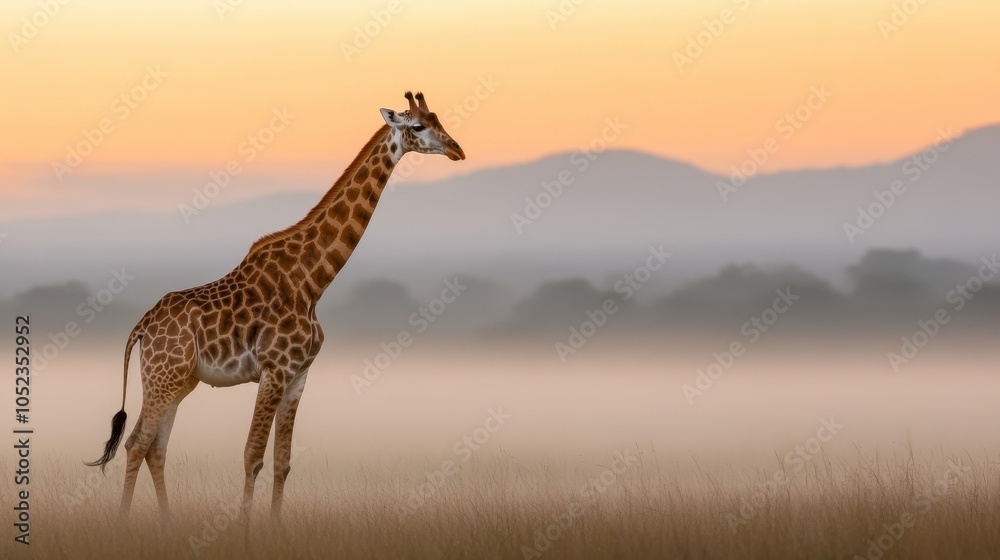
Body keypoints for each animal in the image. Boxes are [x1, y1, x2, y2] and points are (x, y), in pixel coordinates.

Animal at [87, 91, 465, 520]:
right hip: (162, 376)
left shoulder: (299, 375)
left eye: (438, 119)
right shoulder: (273, 371)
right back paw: (124, 522)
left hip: (181, 380)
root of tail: (141, 328)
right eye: (417, 126)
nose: (458, 149)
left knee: (156, 446)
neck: (312, 281)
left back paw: (166, 524)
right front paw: (243, 527)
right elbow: (252, 456)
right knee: (137, 442)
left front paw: (274, 525)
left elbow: (282, 463)